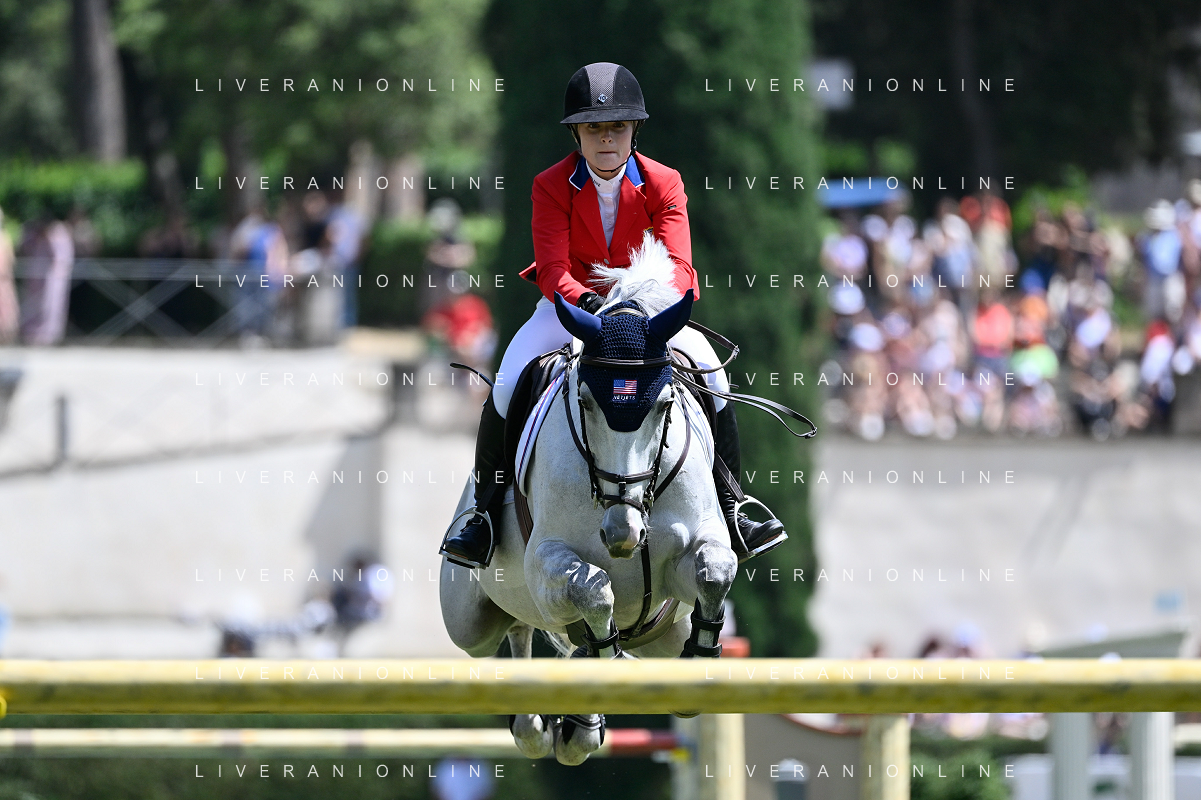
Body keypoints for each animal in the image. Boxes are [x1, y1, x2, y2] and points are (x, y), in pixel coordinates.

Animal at [439, 236, 737, 765]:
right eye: (585, 401)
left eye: (665, 403)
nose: (623, 535)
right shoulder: (547, 563)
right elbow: (594, 591)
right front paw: (597, 663)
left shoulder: (695, 550)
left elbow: (715, 570)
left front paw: (702, 656)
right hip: (470, 620)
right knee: (515, 627)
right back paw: (546, 721)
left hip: (663, 634)